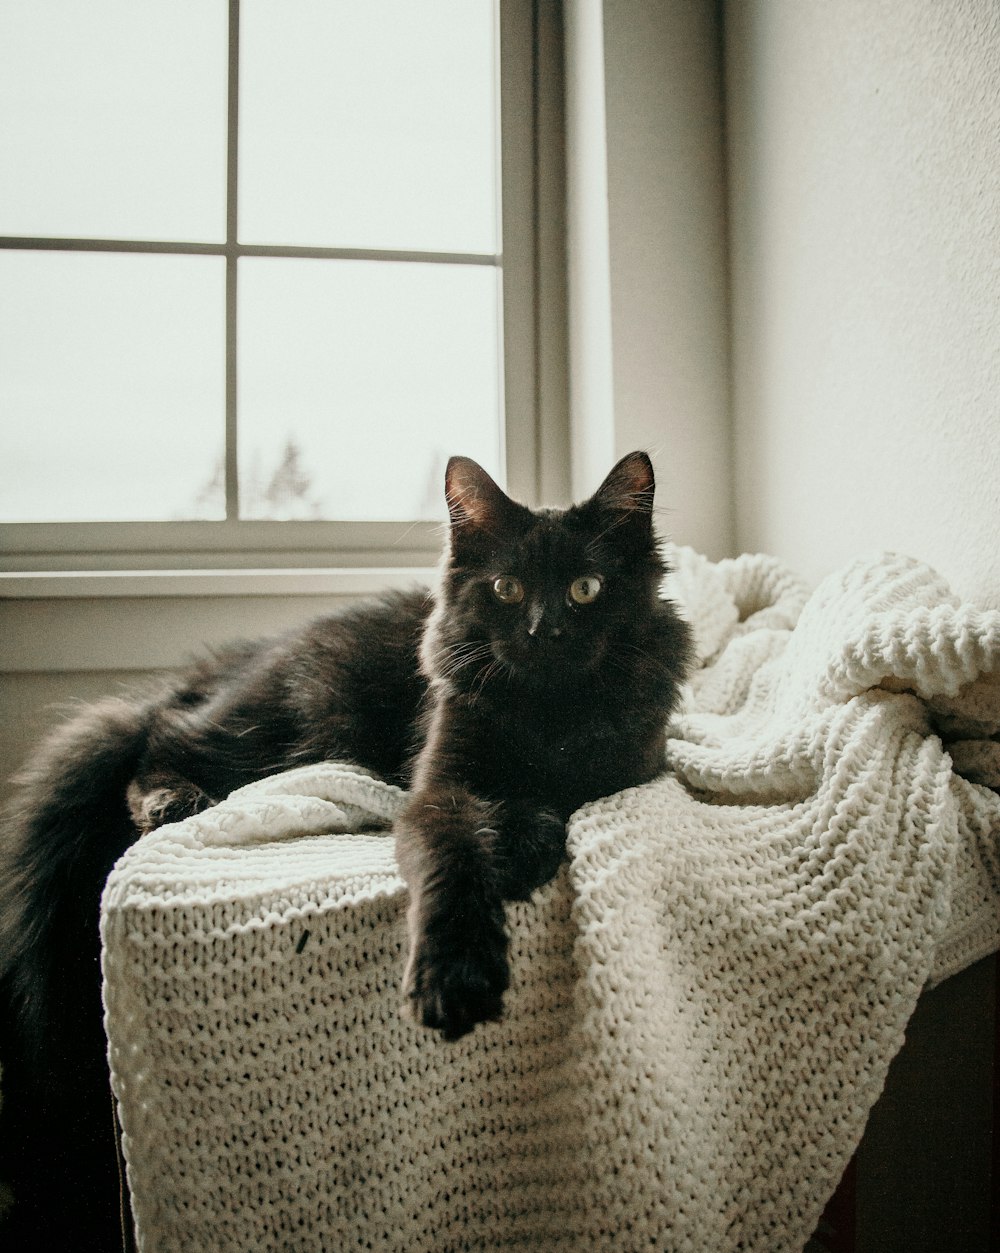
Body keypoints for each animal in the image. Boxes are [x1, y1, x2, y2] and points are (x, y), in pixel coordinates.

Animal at [0, 451, 691, 1242]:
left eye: (586, 589)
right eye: (506, 589)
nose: (544, 631)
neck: (546, 709)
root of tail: (229, 665)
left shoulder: (627, 769)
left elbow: (563, 801)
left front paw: (523, 840)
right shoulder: (438, 791)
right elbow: (454, 865)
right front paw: (455, 976)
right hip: (285, 722)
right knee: (158, 736)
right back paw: (171, 798)